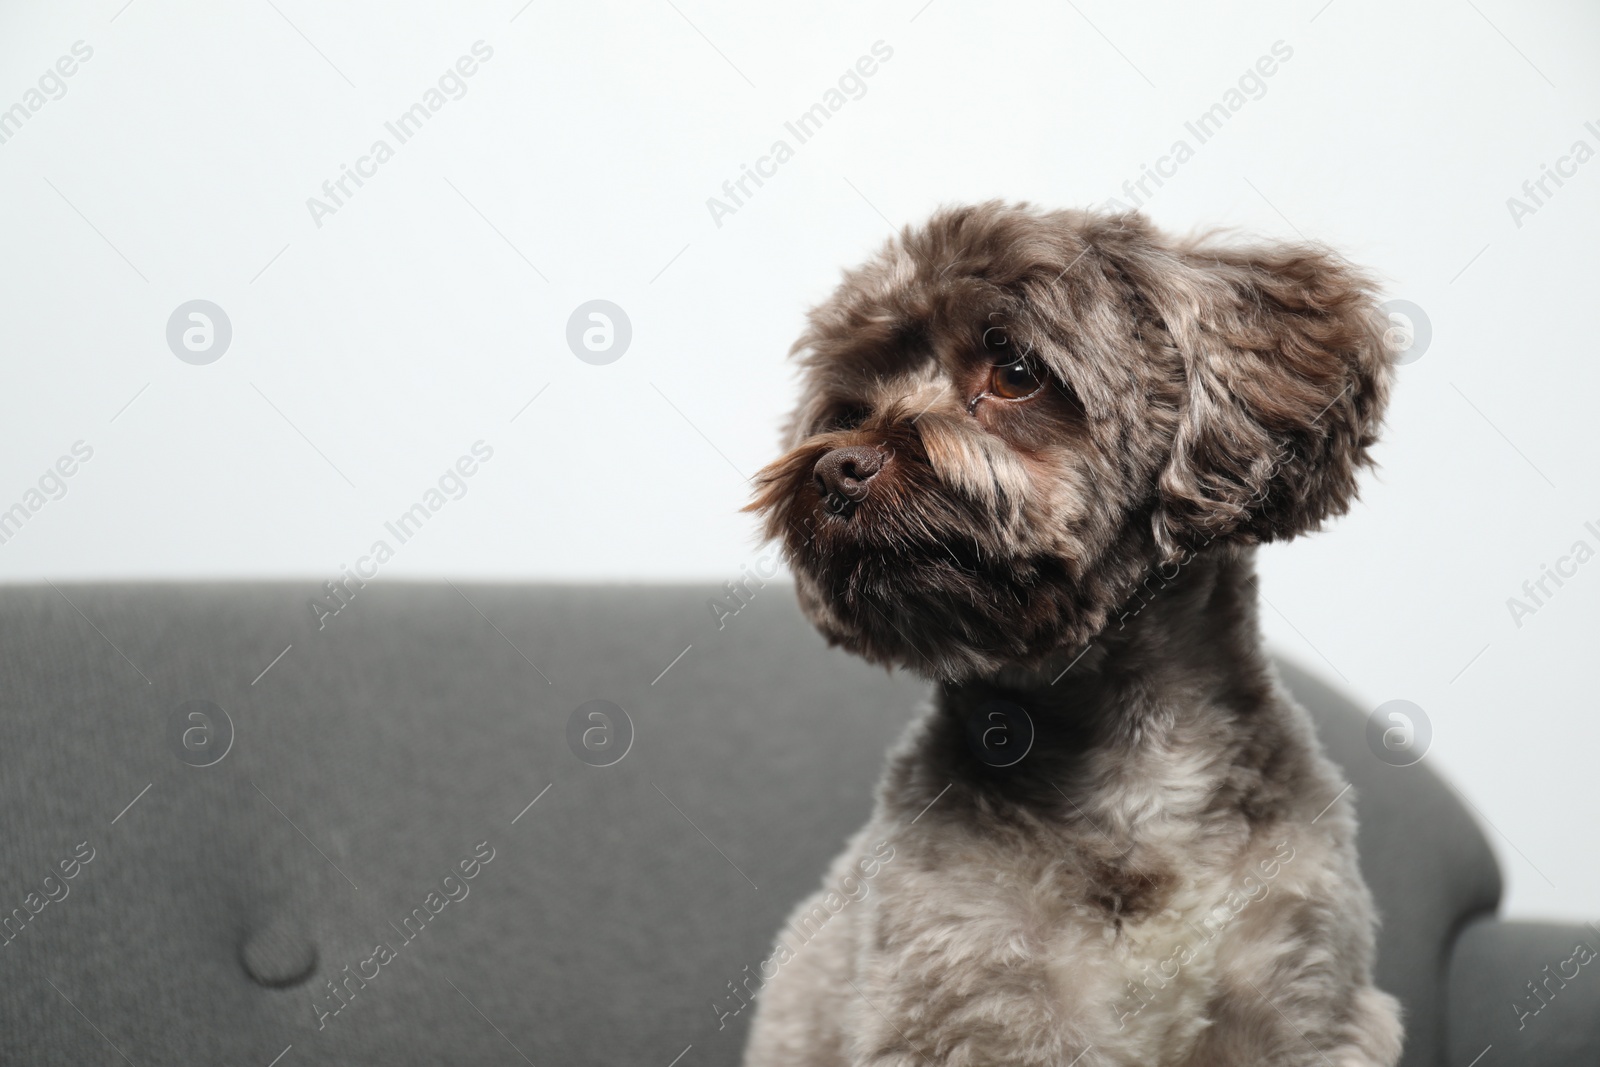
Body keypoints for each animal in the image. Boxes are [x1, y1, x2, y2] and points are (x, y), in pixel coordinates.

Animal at [736, 202, 1401, 1067]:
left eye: (1015, 372)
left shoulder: (1303, 997)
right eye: (849, 409)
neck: (1131, 773)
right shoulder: (968, 1000)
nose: (838, 467)